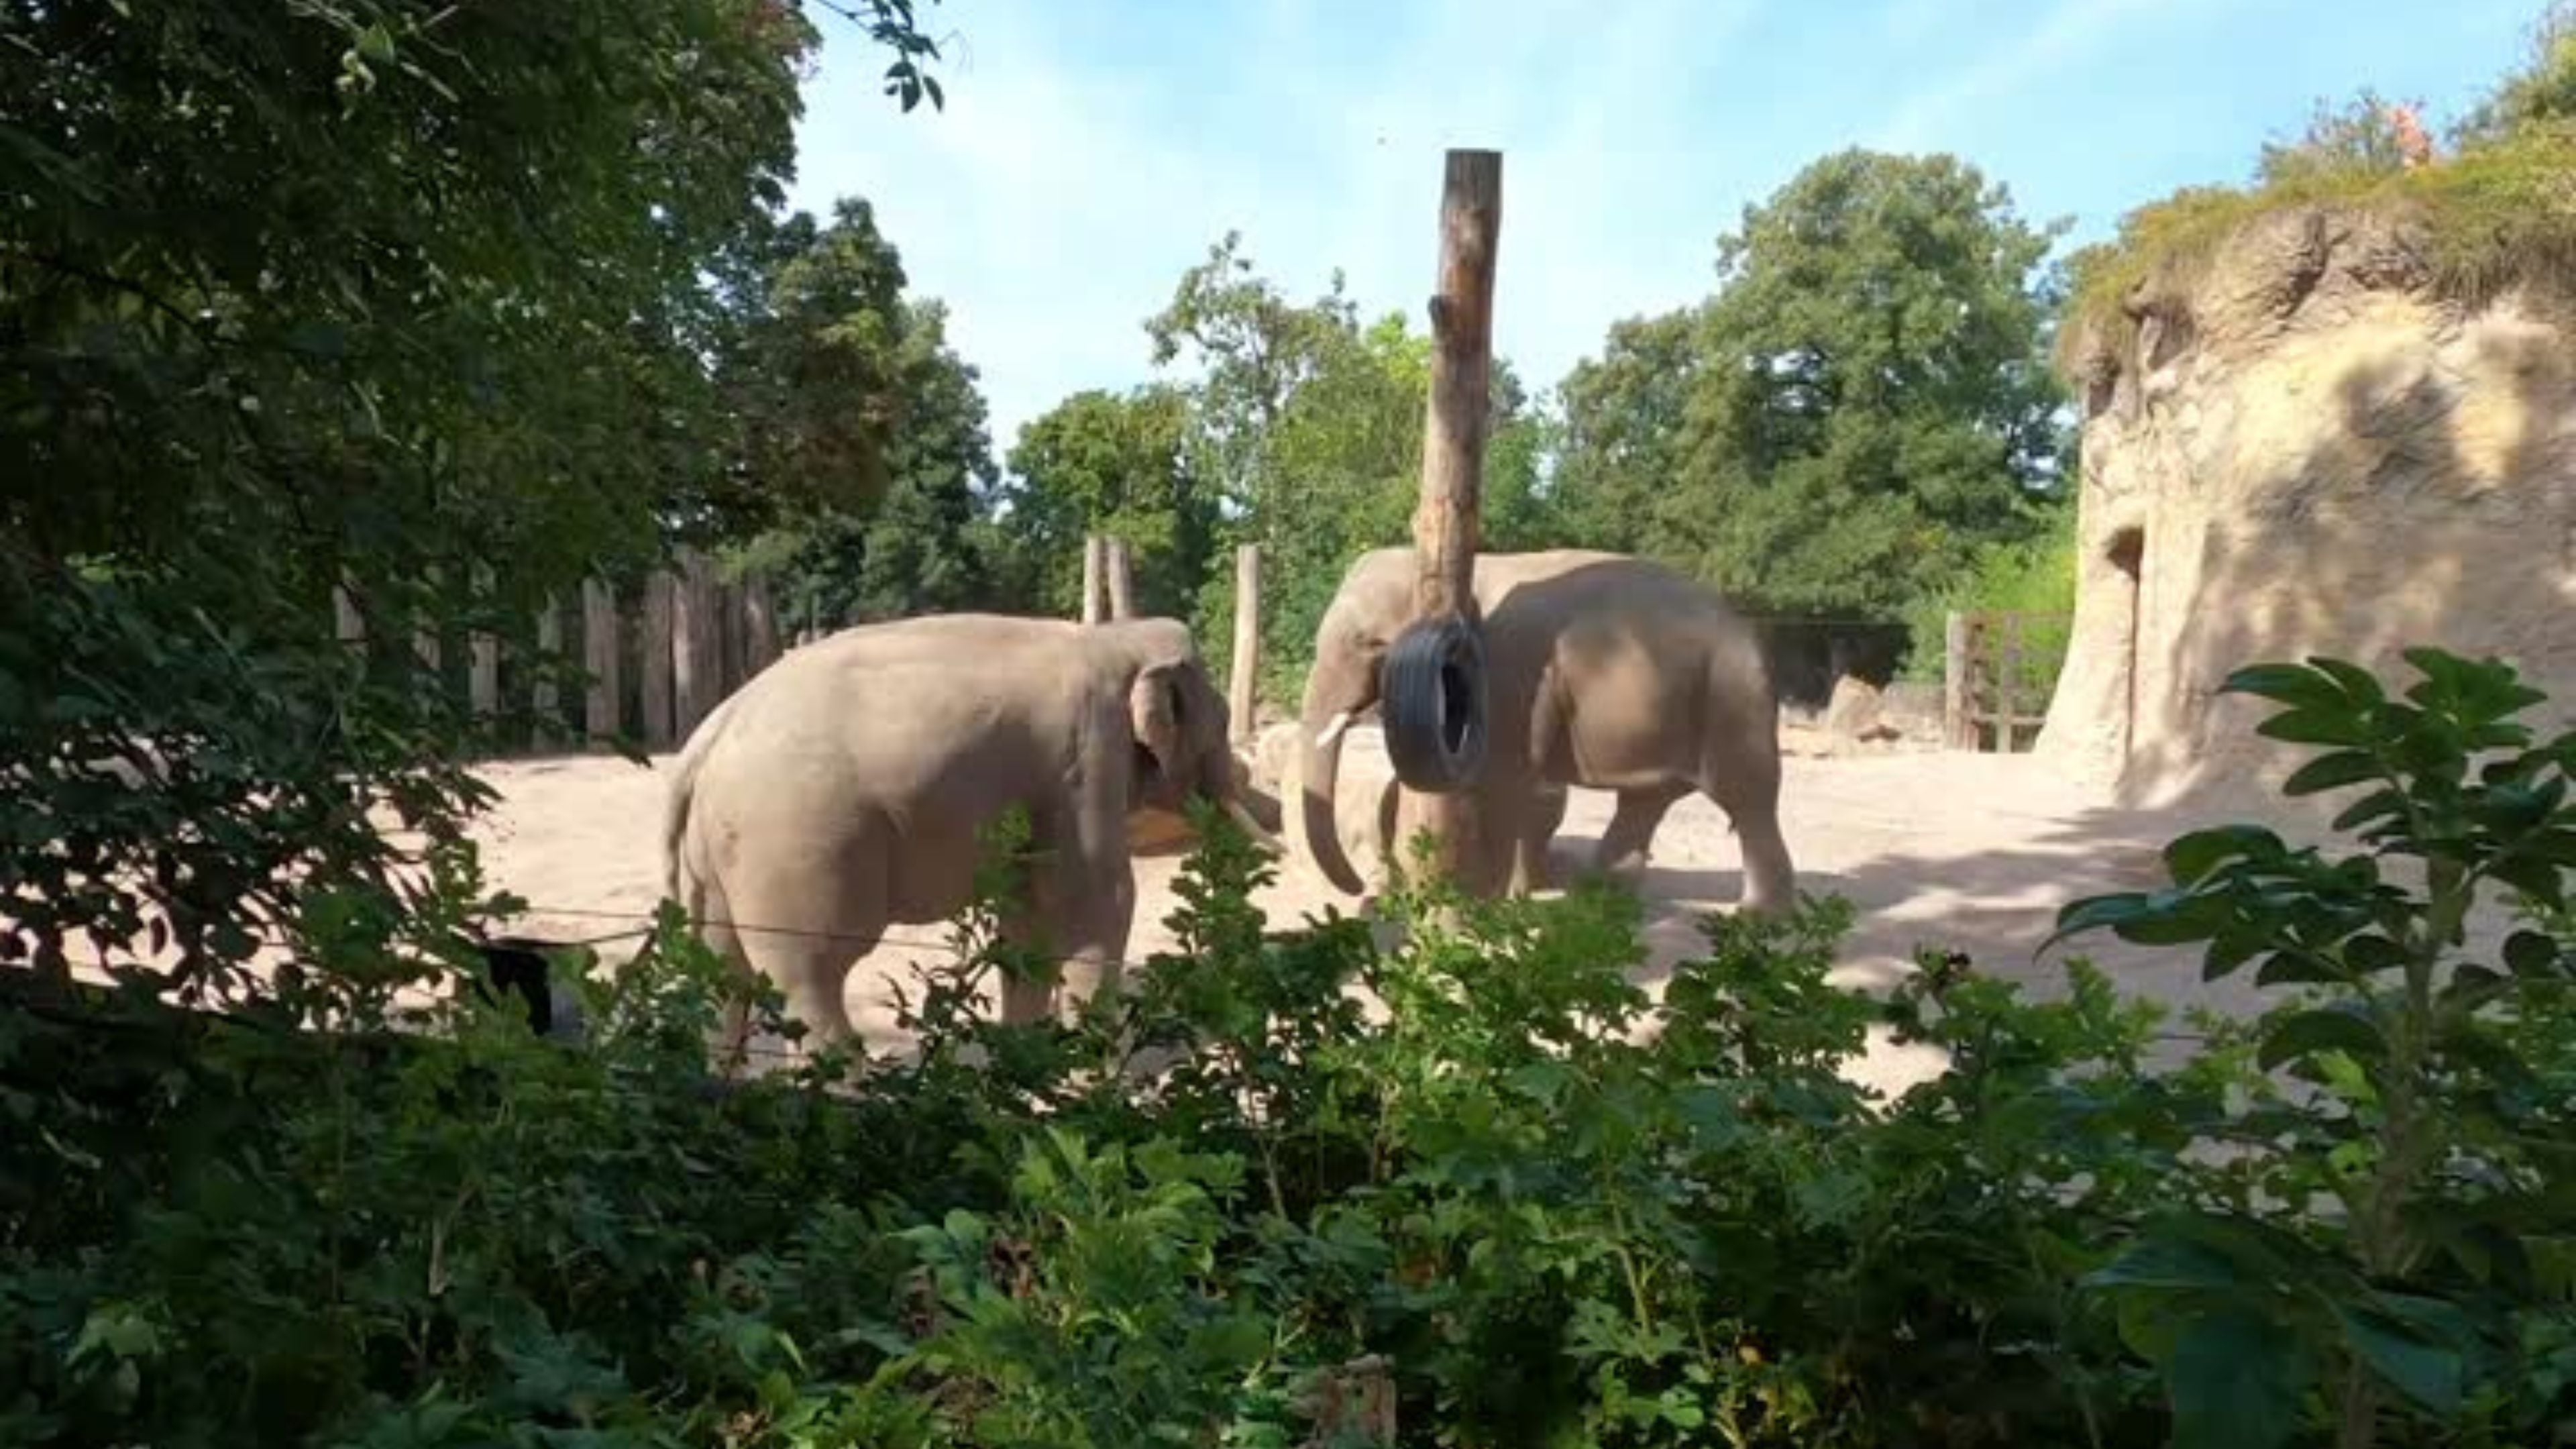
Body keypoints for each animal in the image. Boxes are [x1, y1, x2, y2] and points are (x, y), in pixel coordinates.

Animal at [661, 614, 1276, 1051]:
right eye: (1221, 721)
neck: (1117, 637)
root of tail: (707, 738)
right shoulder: (1088, 758)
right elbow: (1099, 904)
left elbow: (1028, 921)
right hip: (794, 848)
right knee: (811, 981)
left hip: (719, 859)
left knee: (724, 975)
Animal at [1289, 548, 1794, 914]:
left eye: (1366, 642)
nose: (1360, 890)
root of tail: (1749, 629)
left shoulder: (1506, 672)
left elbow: (1502, 775)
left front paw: (1484, 902)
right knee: (1644, 802)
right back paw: (1597, 901)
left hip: (1733, 698)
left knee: (1748, 799)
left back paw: (1757, 918)